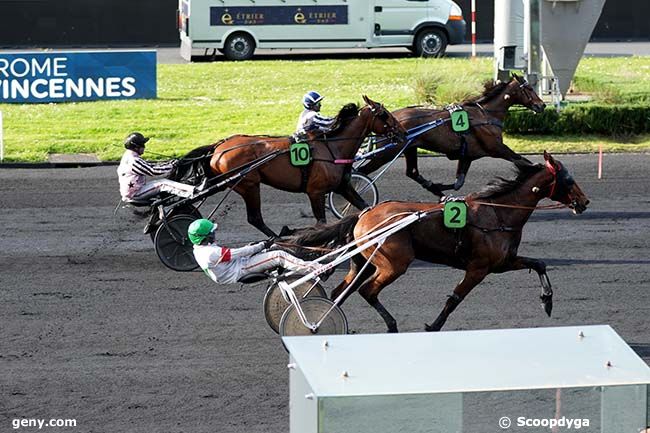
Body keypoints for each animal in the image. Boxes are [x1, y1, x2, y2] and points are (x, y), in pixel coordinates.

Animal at [172, 95, 404, 236]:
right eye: (384, 114)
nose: (402, 132)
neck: (333, 148)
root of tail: (218, 147)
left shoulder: (343, 186)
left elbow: (365, 206)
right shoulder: (315, 192)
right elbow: (321, 222)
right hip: (249, 184)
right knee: (255, 218)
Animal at [292, 151, 588, 330]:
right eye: (568, 179)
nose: (584, 201)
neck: (498, 213)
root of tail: (364, 214)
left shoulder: (503, 262)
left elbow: (538, 263)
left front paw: (547, 301)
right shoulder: (478, 268)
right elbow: (455, 299)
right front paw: (433, 326)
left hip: (362, 263)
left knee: (340, 292)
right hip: (394, 263)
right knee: (368, 291)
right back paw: (390, 325)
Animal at [356, 74, 544, 196]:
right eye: (529, 88)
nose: (541, 105)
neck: (485, 115)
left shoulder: (467, 155)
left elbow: (458, 183)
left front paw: (438, 187)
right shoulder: (496, 148)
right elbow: (522, 160)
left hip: (409, 148)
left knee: (412, 172)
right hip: (386, 153)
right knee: (361, 172)